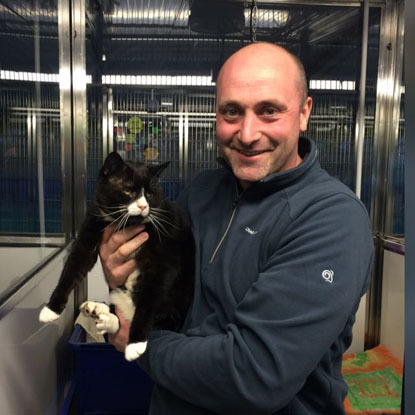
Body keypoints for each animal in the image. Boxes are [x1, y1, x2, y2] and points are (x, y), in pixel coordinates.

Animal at [39, 152, 195, 360]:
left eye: (150, 194)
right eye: (128, 191)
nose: (143, 206)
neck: (125, 223)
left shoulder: (164, 262)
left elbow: (149, 300)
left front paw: (136, 343)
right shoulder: (92, 227)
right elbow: (72, 268)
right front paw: (51, 309)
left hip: (175, 302)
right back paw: (98, 310)